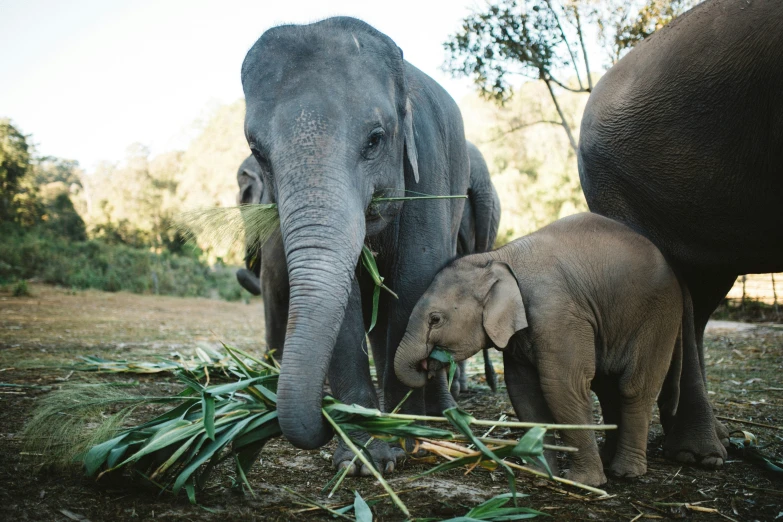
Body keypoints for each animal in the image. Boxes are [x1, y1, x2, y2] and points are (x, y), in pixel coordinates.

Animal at [242, 17, 468, 472]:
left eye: (375, 139)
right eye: (257, 151)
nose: (326, 420)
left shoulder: (428, 165)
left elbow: (415, 283)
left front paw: (407, 442)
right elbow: (342, 305)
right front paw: (364, 458)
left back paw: (442, 420)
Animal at [396, 210, 684, 484]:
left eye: (435, 319)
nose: (428, 365)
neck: (497, 257)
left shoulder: (557, 314)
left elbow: (563, 385)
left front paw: (582, 482)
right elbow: (523, 390)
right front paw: (538, 475)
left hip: (658, 318)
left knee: (633, 388)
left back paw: (626, 473)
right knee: (607, 388)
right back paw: (608, 460)